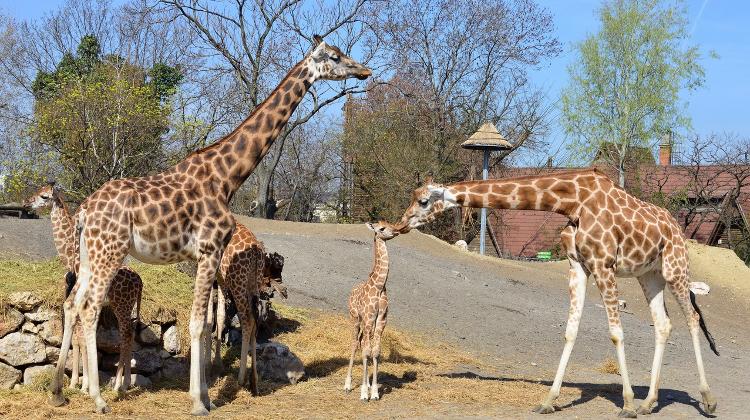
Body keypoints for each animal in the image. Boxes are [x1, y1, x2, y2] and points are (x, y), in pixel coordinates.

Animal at [25, 183, 143, 395]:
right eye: (37, 191)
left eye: (44, 196)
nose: (26, 203)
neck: (71, 256)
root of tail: (140, 281)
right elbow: (80, 339)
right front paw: (78, 383)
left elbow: (80, 339)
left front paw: (82, 385)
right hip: (124, 305)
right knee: (128, 335)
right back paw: (125, 384)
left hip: (122, 305)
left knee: (126, 335)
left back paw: (119, 385)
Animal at [47, 35, 371, 415]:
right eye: (335, 56)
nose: (365, 71)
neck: (226, 177)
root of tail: (84, 212)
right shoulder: (209, 250)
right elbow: (199, 324)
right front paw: (199, 402)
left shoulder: (206, 257)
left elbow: (206, 323)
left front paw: (205, 395)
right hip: (110, 252)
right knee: (90, 308)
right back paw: (98, 398)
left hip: (90, 255)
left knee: (73, 304)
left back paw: (59, 390)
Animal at [344, 221, 399, 401]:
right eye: (381, 228)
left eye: (389, 224)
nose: (396, 231)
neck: (380, 286)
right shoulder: (369, 318)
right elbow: (367, 351)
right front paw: (363, 394)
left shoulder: (381, 319)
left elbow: (375, 352)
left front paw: (374, 392)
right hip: (355, 319)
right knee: (355, 343)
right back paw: (347, 385)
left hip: (365, 323)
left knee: (362, 343)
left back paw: (367, 385)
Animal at [395, 169, 718, 417]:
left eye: (423, 201)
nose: (400, 224)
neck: (572, 202)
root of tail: (676, 227)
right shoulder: (578, 265)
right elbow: (570, 331)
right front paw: (548, 401)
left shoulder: (603, 264)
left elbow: (616, 333)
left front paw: (626, 404)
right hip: (649, 275)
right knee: (663, 324)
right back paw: (649, 403)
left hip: (675, 268)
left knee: (691, 319)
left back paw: (707, 399)